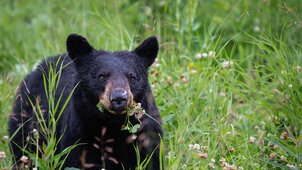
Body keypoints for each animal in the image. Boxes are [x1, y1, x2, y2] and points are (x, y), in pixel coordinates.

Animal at [8, 33, 163, 169]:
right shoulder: (79, 133)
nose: (119, 98)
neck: (112, 124)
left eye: (132, 77)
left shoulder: (146, 133)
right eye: (102, 76)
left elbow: (150, 159)